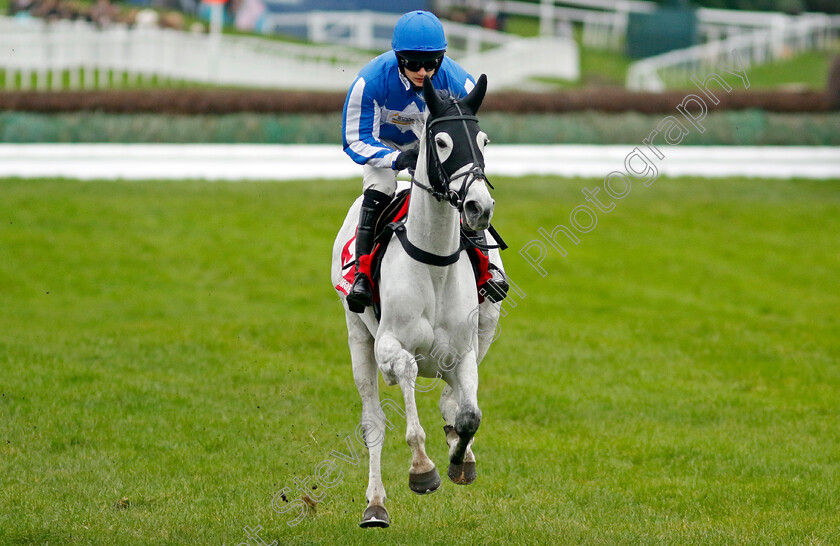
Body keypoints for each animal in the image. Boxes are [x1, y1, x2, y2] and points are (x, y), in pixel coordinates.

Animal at [332, 74, 502, 524]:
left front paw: (460, 460)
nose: (479, 206)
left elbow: (469, 414)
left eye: (483, 139)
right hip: (357, 336)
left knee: (452, 397)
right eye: (441, 141)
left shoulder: (464, 349)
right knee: (373, 421)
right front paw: (423, 469)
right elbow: (406, 376)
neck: (435, 262)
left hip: (486, 326)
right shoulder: (390, 344)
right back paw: (375, 505)